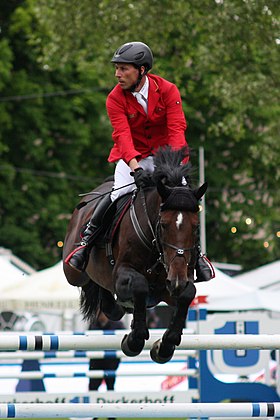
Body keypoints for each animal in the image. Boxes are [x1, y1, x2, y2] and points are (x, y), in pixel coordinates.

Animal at [63, 146, 208, 362]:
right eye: (163, 225)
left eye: (196, 227)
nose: (176, 281)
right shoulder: (122, 273)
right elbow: (139, 286)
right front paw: (134, 340)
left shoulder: (174, 285)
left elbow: (188, 293)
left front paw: (165, 345)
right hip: (74, 273)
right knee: (87, 280)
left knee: (109, 303)